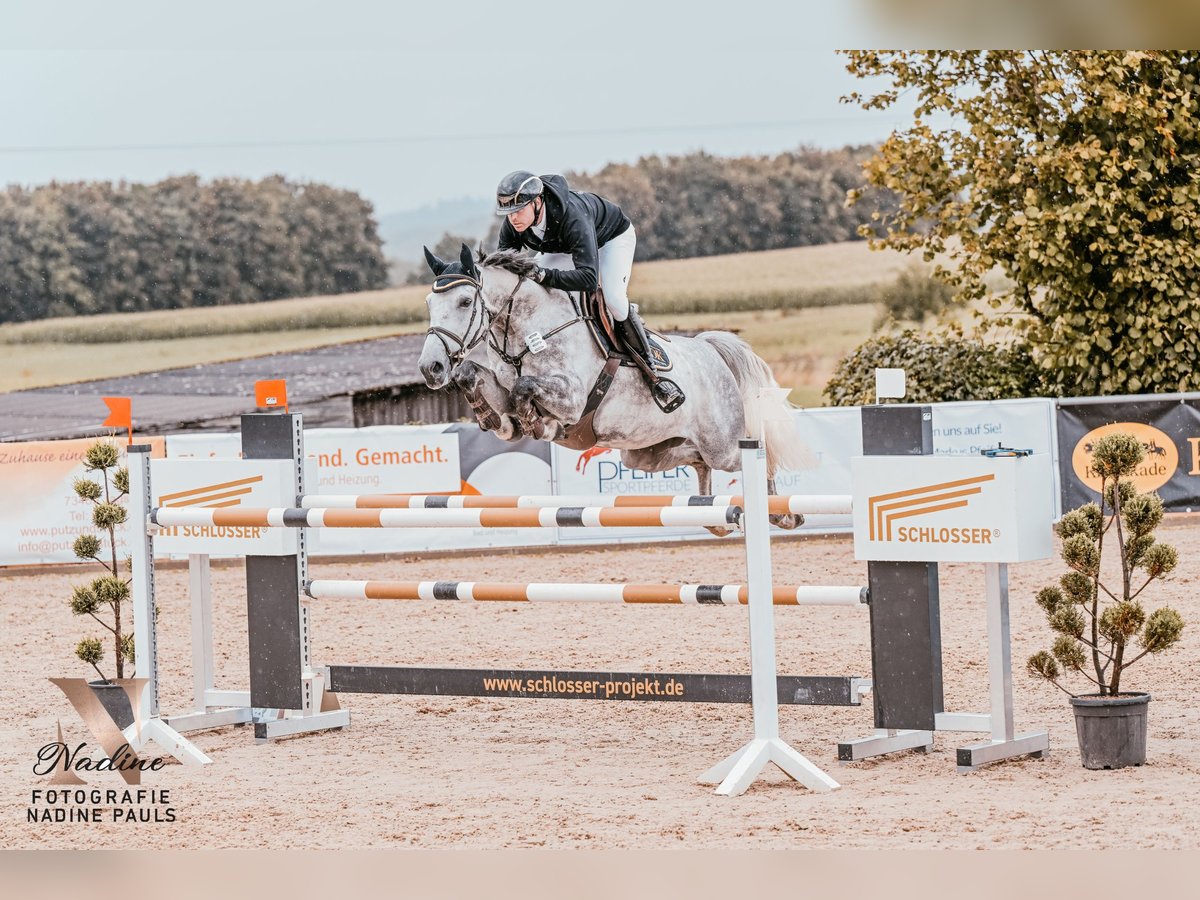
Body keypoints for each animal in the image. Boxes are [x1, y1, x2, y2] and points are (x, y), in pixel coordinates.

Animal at [417, 243, 811, 532]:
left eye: (465, 302)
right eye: (429, 303)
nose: (430, 368)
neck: (526, 334)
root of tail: (711, 348)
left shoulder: (571, 399)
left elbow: (524, 389)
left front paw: (534, 422)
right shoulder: (498, 382)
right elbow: (474, 377)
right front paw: (496, 419)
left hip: (724, 445)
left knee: (759, 454)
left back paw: (783, 513)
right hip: (645, 452)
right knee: (696, 459)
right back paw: (715, 520)